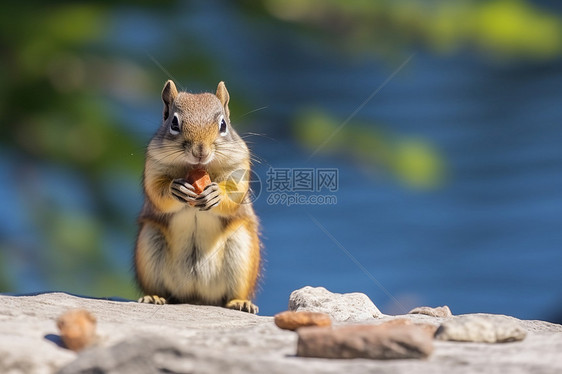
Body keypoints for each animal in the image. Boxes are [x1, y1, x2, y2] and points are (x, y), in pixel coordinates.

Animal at [133, 80, 260, 314]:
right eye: (174, 123)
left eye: (223, 125)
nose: (200, 151)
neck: (197, 168)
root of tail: (196, 297)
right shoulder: (154, 165)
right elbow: (156, 191)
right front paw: (176, 189)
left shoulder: (239, 165)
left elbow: (235, 192)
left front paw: (215, 193)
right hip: (150, 245)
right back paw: (154, 297)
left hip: (241, 250)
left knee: (234, 293)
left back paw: (240, 302)